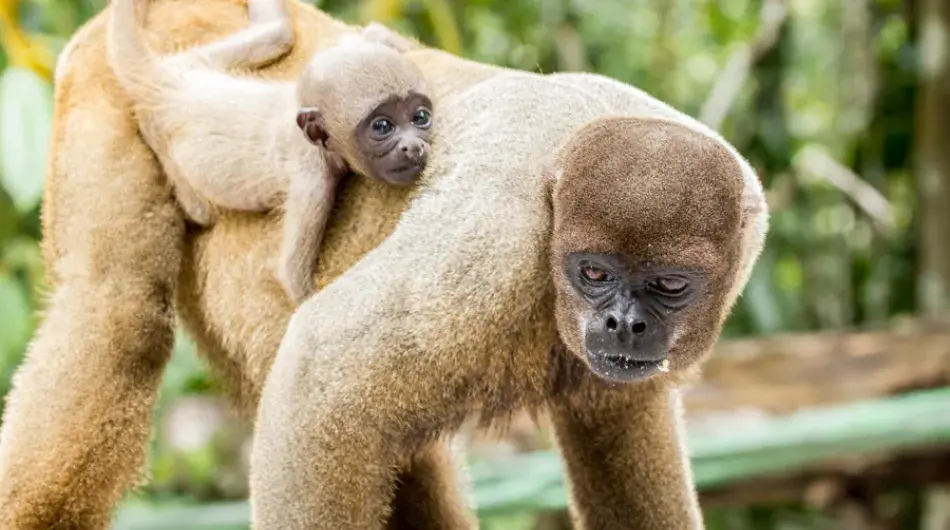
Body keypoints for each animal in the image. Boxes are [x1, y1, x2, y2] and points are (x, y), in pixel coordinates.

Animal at [106, 0, 434, 304]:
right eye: (382, 127)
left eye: (420, 117)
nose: (413, 146)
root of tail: (165, 87)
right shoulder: (312, 181)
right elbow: (292, 276)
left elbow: (369, 35)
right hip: (161, 132)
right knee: (200, 211)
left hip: (193, 62)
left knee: (278, 34)